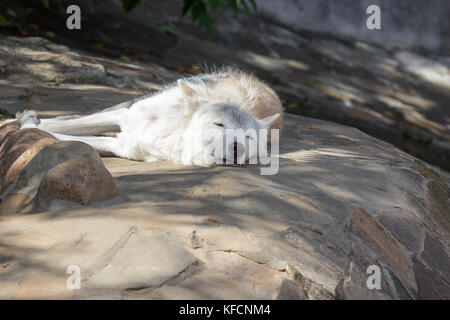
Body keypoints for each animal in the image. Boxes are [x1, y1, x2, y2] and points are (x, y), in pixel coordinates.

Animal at [19, 69, 284, 166]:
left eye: (248, 138)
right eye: (219, 124)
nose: (237, 148)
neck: (173, 132)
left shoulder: (123, 146)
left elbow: (60, 135)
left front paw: (28, 126)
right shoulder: (126, 119)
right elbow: (66, 126)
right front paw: (25, 122)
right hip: (131, 107)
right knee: (86, 116)